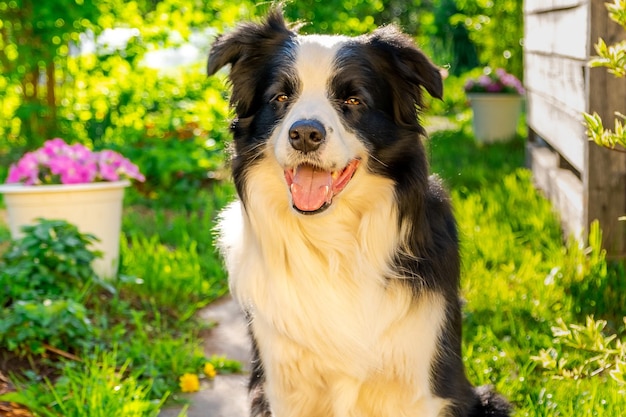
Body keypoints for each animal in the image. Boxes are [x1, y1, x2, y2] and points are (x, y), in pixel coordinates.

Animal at [207, 7, 510, 416]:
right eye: (281, 97)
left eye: (352, 101)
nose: (304, 135)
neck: (331, 241)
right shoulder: (282, 387)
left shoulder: (420, 386)